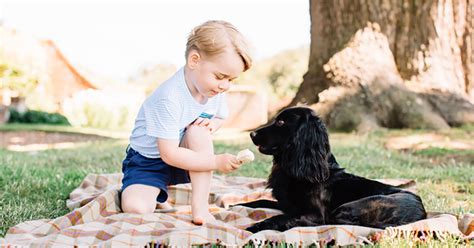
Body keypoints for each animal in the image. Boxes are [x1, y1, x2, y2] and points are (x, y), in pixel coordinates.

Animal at [239, 106, 428, 232]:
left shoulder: (315, 214)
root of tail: (422, 214)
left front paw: (253, 228)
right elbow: (258, 202)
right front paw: (236, 205)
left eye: (280, 122)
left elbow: (280, 217)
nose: (251, 134)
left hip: (350, 207)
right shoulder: (286, 204)